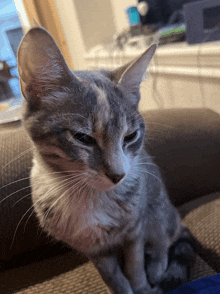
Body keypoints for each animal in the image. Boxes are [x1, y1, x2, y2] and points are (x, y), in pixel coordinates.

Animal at [18, 27, 195, 292]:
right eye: (83, 138)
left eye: (130, 136)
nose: (118, 175)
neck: (91, 197)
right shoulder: (93, 249)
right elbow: (113, 276)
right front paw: (120, 287)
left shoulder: (135, 229)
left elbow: (135, 266)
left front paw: (142, 286)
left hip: (159, 210)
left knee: (164, 239)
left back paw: (157, 266)